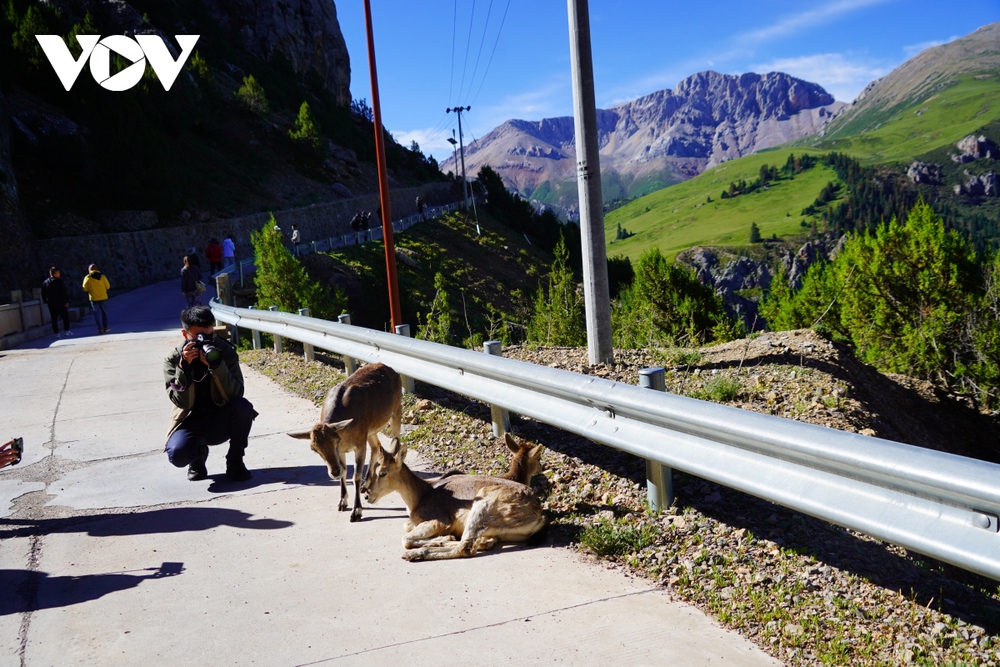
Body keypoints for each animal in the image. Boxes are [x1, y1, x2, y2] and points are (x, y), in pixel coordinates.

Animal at [288, 360, 400, 520]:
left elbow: (355, 476)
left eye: (335, 441)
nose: (334, 472)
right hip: (371, 430)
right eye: (314, 448)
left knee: (397, 440)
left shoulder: (359, 444)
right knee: (376, 446)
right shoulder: (342, 450)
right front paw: (342, 502)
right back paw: (366, 485)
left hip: (396, 410)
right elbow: (345, 471)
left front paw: (357, 511)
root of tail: (390, 369)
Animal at [362, 436, 548, 560]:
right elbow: (406, 528)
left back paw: (416, 553)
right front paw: (442, 538)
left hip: (483, 505)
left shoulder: (440, 519)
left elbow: (406, 538)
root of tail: (539, 516)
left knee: (466, 547)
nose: (366, 494)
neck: (419, 498)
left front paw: (440, 538)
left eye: (382, 473)